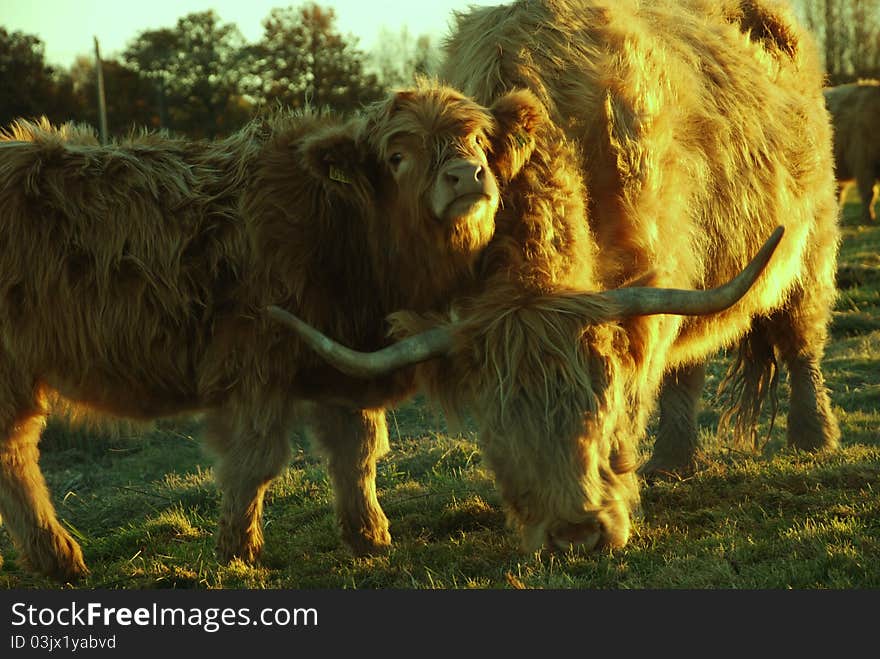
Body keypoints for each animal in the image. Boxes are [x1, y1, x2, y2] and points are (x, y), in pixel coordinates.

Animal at [0, 89, 544, 584]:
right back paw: (61, 557)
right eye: (397, 155)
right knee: (15, 455)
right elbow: (255, 460)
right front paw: (238, 550)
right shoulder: (254, 362)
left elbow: (358, 452)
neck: (339, 230)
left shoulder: (345, 361)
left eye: (479, 140)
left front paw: (369, 537)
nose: (466, 175)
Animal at [272, 0, 844, 556]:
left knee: (801, 343)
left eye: (602, 408)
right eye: (498, 435)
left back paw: (813, 437)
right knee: (688, 366)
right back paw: (672, 462)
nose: (576, 534)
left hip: (812, 244)